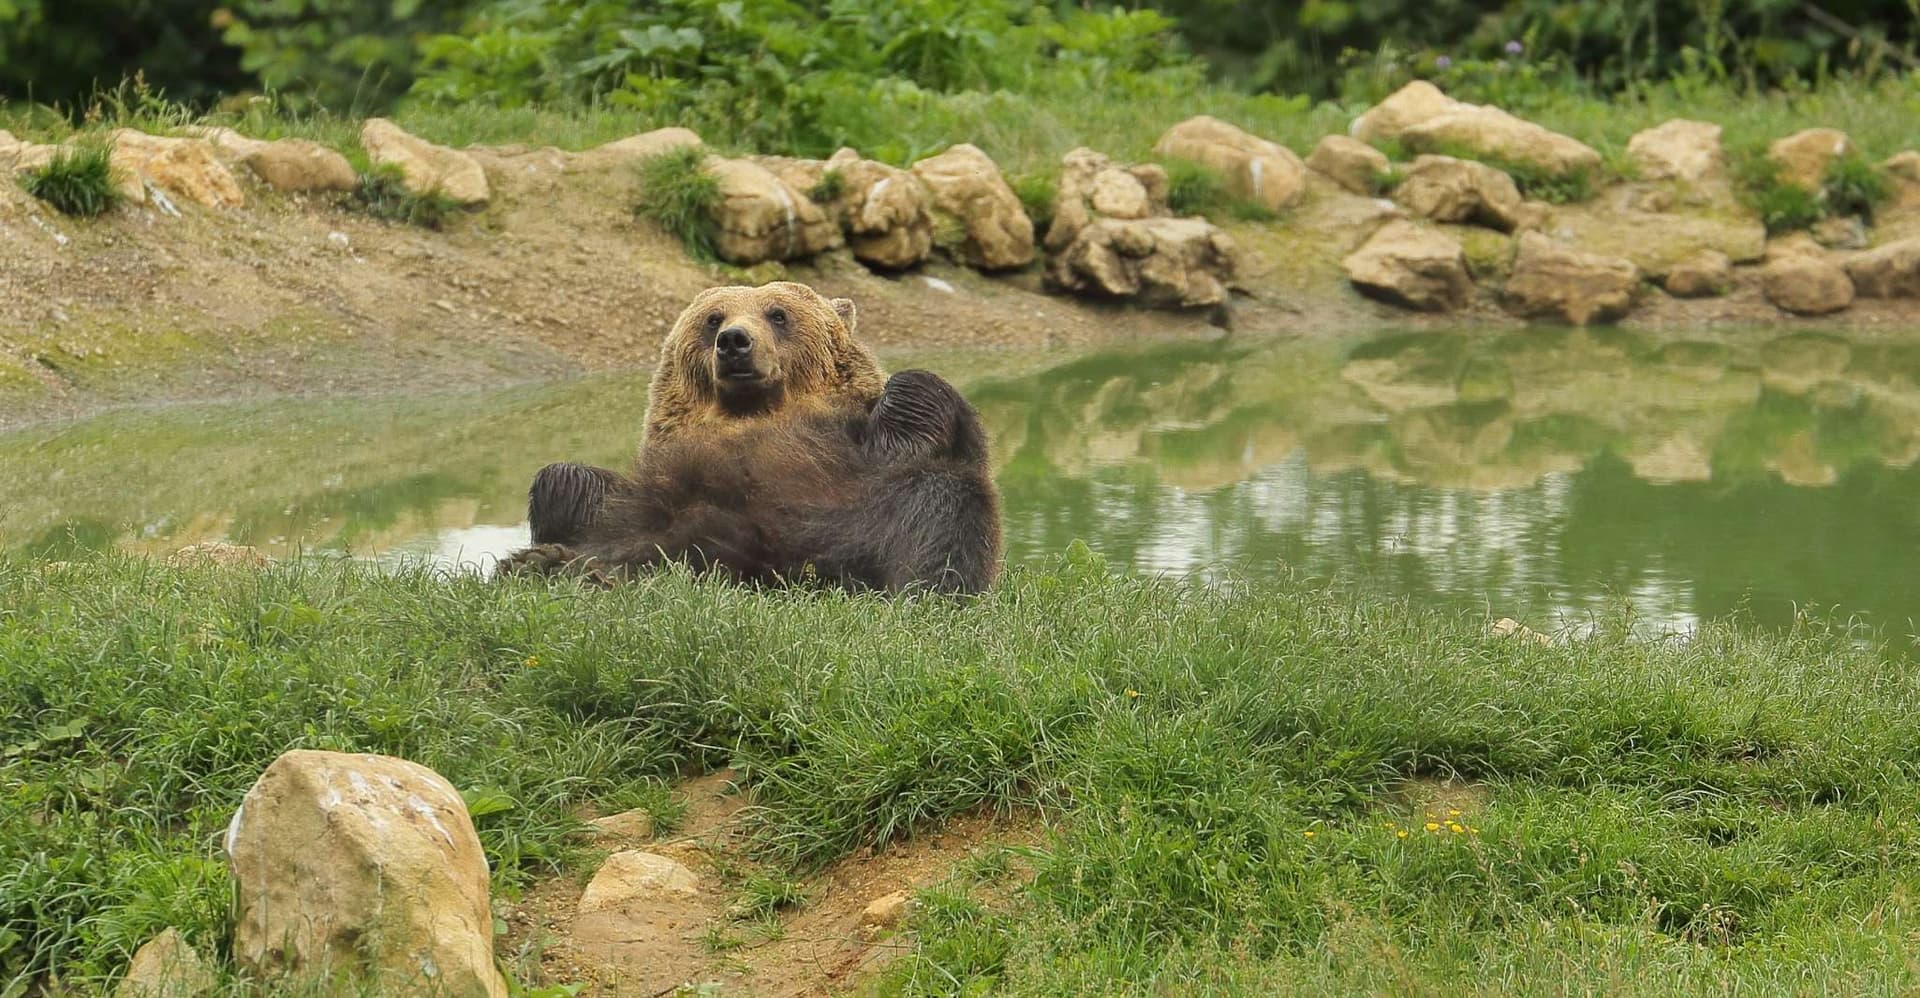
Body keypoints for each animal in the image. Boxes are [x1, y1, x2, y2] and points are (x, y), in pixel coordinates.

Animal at [497, 281, 1002, 593]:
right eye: (712, 318)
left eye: (778, 314)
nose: (735, 341)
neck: (754, 413)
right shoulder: (661, 482)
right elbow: (570, 483)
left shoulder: (852, 460)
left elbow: (917, 409)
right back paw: (551, 564)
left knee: (937, 508)